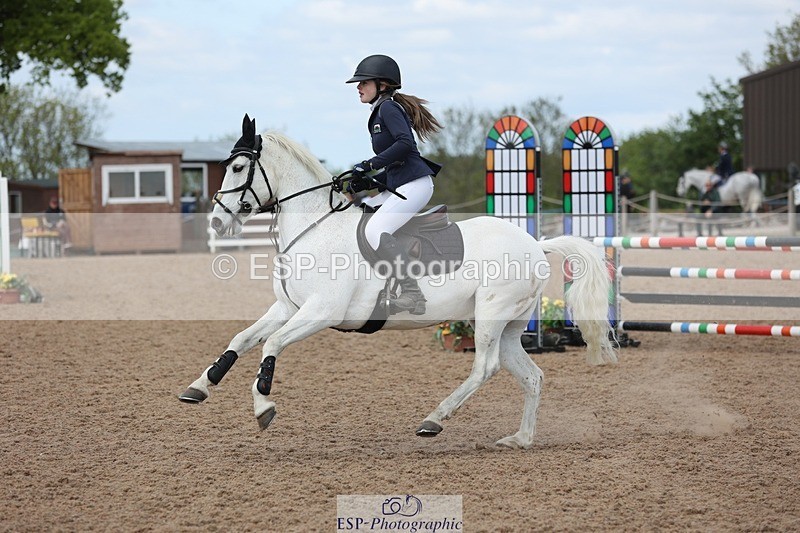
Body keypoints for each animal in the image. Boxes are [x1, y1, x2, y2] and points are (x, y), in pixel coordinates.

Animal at [179, 114, 617, 449]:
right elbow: (241, 339)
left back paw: (434, 420)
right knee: (531, 376)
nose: (217, 223)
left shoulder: (322, 312)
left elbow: (270, 344)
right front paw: (200, 386)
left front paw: (263, 407)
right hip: (508, 325)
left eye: (238, 168)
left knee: (485, 367)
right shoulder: (289, 307)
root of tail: (536, 244)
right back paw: (520, 439)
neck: (315, 228)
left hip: (492, 315)